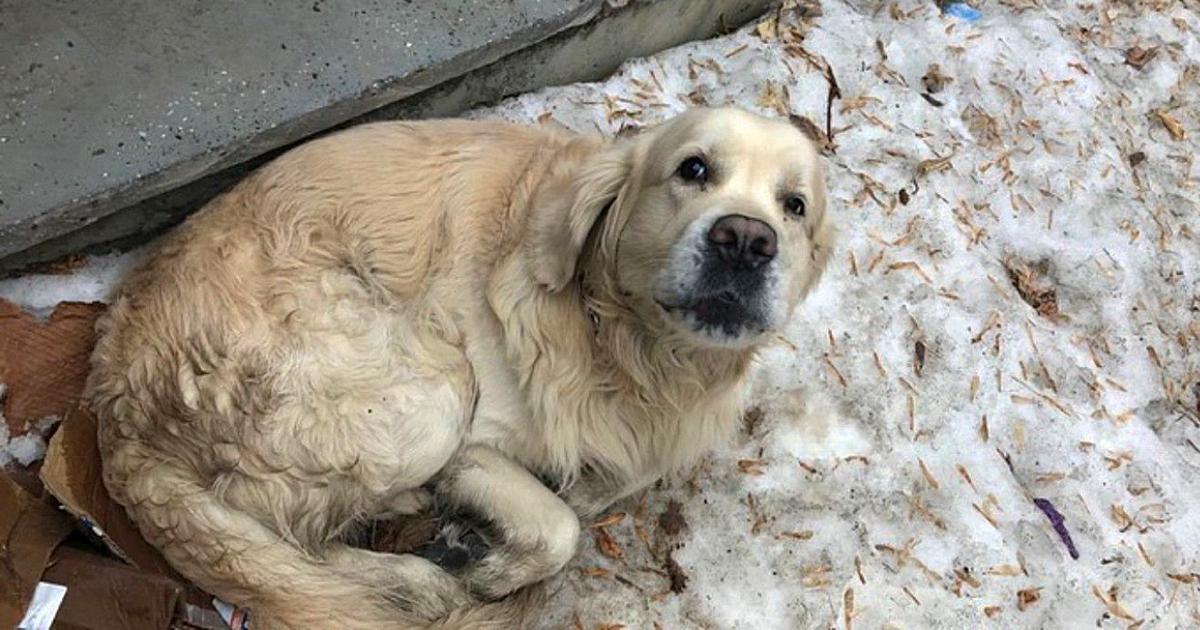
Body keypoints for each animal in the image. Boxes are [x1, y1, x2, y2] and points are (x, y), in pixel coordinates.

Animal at [87, 105, 835, 624]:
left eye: (795, 206)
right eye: (692, 169)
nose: (746, 240)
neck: (629, 351)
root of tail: (112, 400)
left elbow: (607, 483)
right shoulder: (475, 446)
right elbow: (559, 527)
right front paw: (490, 567)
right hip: (425, 389)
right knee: (294, 547)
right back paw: (421, 571)